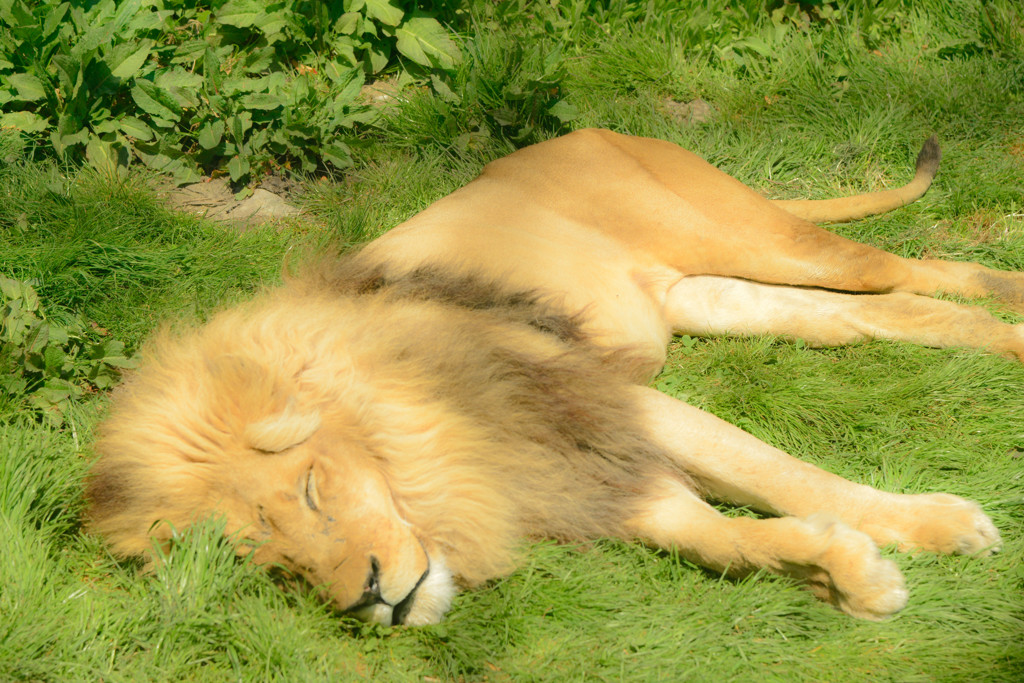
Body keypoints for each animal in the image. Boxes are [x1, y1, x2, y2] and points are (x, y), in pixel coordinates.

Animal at [81, 127, 1015, 626]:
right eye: (270, 562)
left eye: (310, 491)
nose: (370, 599)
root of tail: (585, 132)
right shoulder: (558, 471)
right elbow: (723, 538)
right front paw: (848, 576)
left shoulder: (595, 398)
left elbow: (780, 472)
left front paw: (935, 524)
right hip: (715, 297)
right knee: (887, 310)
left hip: (761, 239)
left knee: (914, 267)